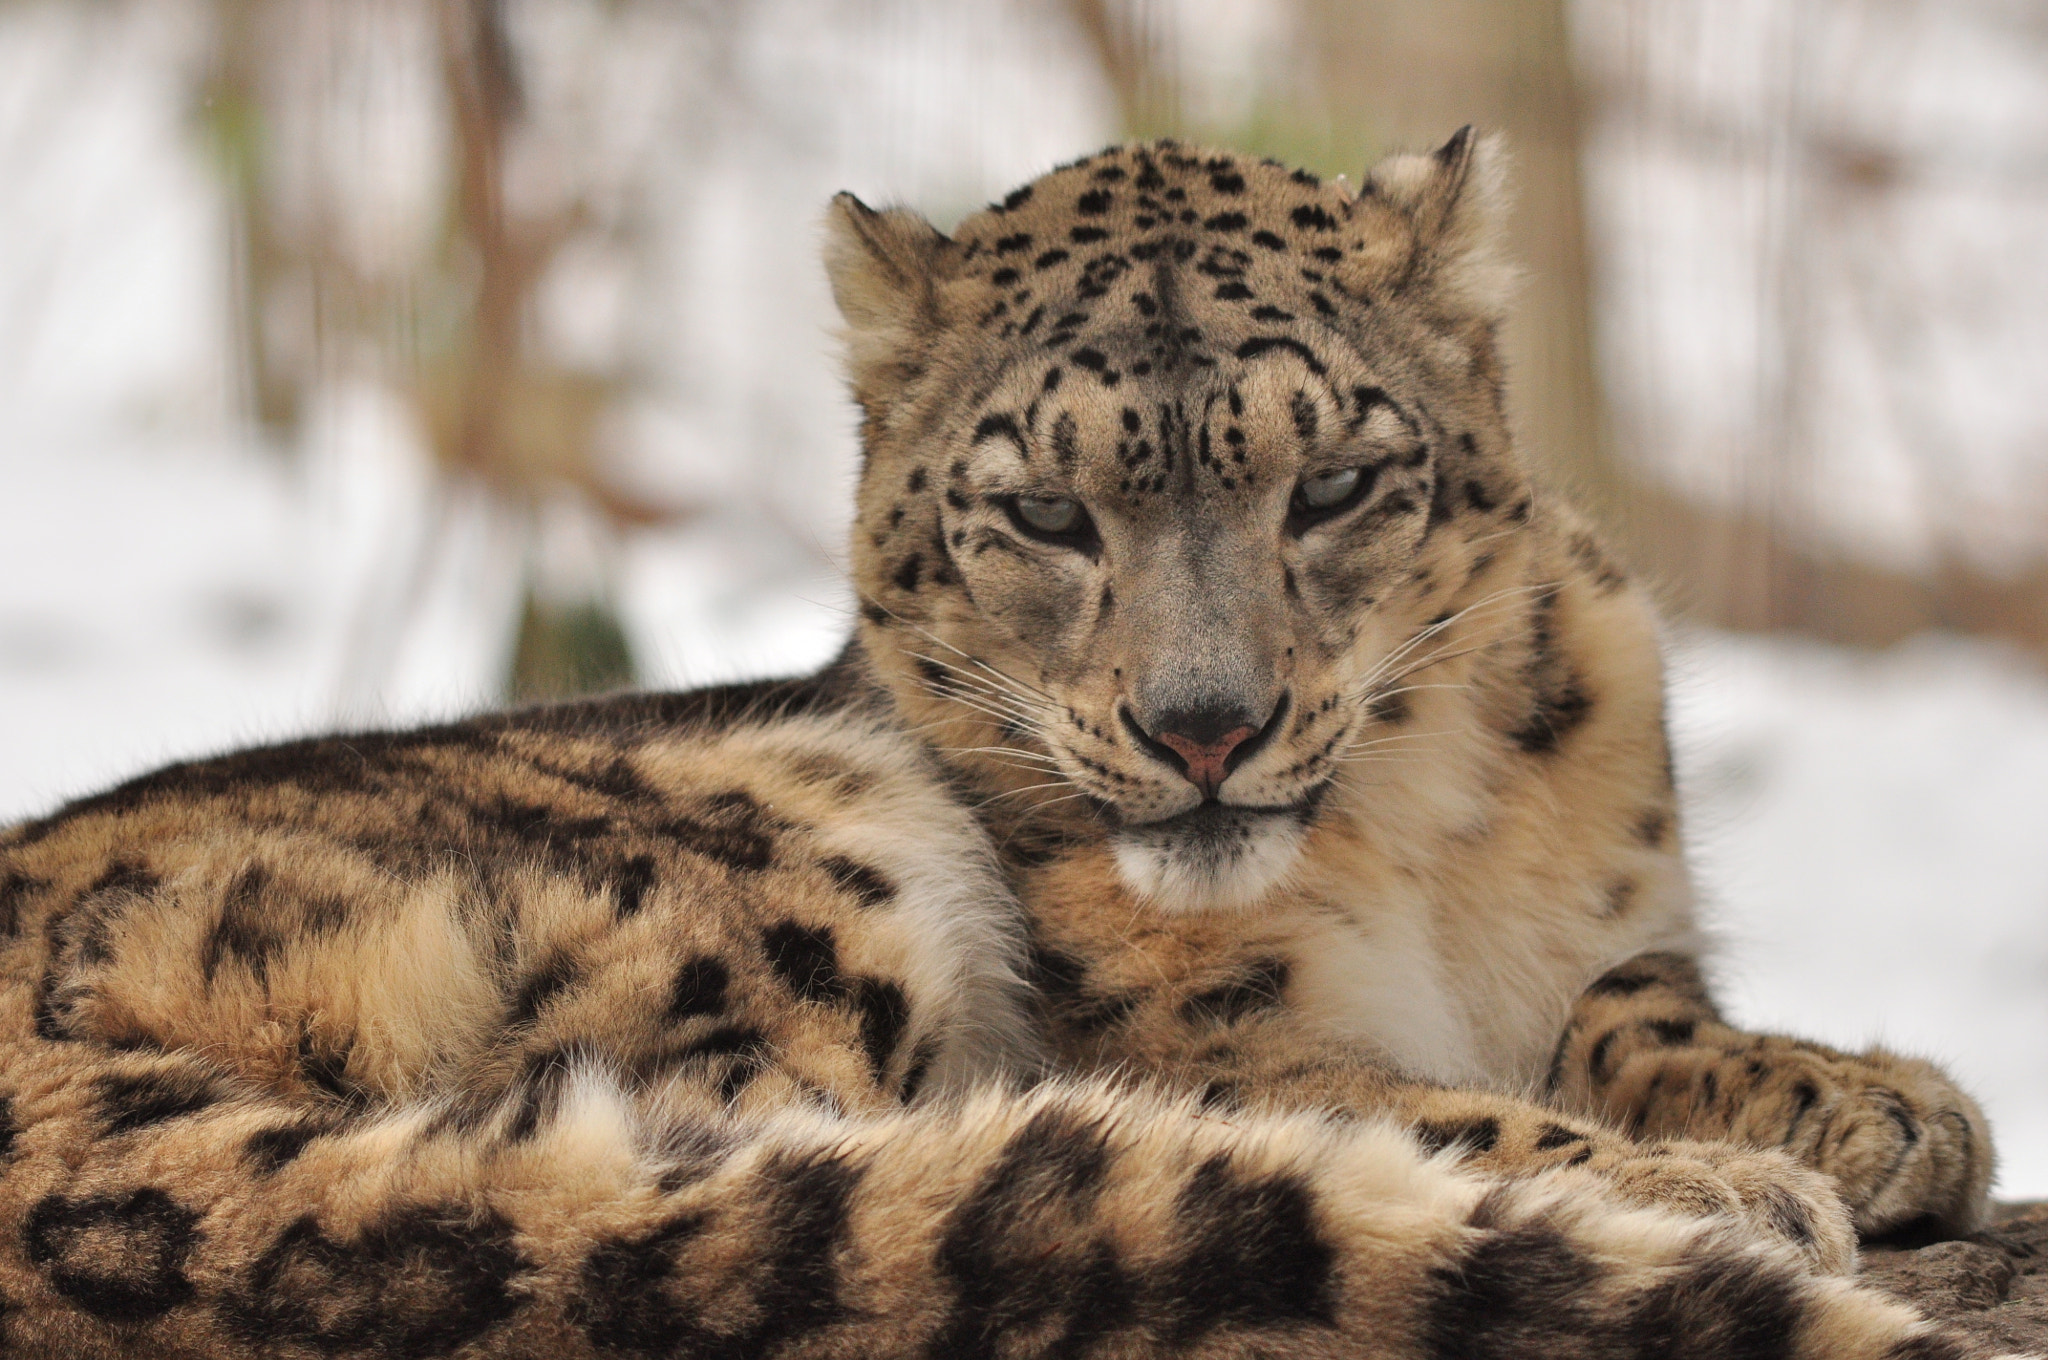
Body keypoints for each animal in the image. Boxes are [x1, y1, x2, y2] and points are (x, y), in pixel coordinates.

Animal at [0, 132, 2015, 1360]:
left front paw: (1866, 1100)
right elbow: (1364, 1089)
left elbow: (1635, 1005)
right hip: (794, 850)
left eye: (1334, 482)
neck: (1424, 838)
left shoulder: (1619, 927)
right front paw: (1728, 1180)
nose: (1205, 728)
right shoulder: (1192, 1035)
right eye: (1046, 514)